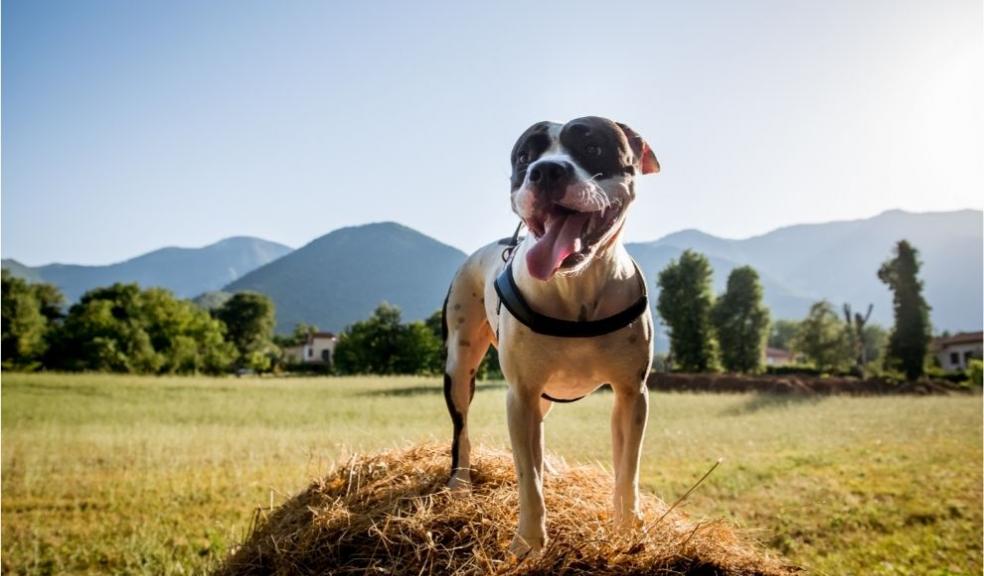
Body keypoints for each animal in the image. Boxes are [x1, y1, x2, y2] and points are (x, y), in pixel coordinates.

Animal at [440, 116, 656, 552]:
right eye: (525, 156)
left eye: (592, 148)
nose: (546, 171)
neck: (576, 286)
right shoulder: (520, 395)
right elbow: (528, 478)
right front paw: (528, 543)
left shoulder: (631, 395)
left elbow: (627, 471)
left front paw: (628, 528)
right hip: (459, 368)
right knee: (462, 431)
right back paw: (459, 483)